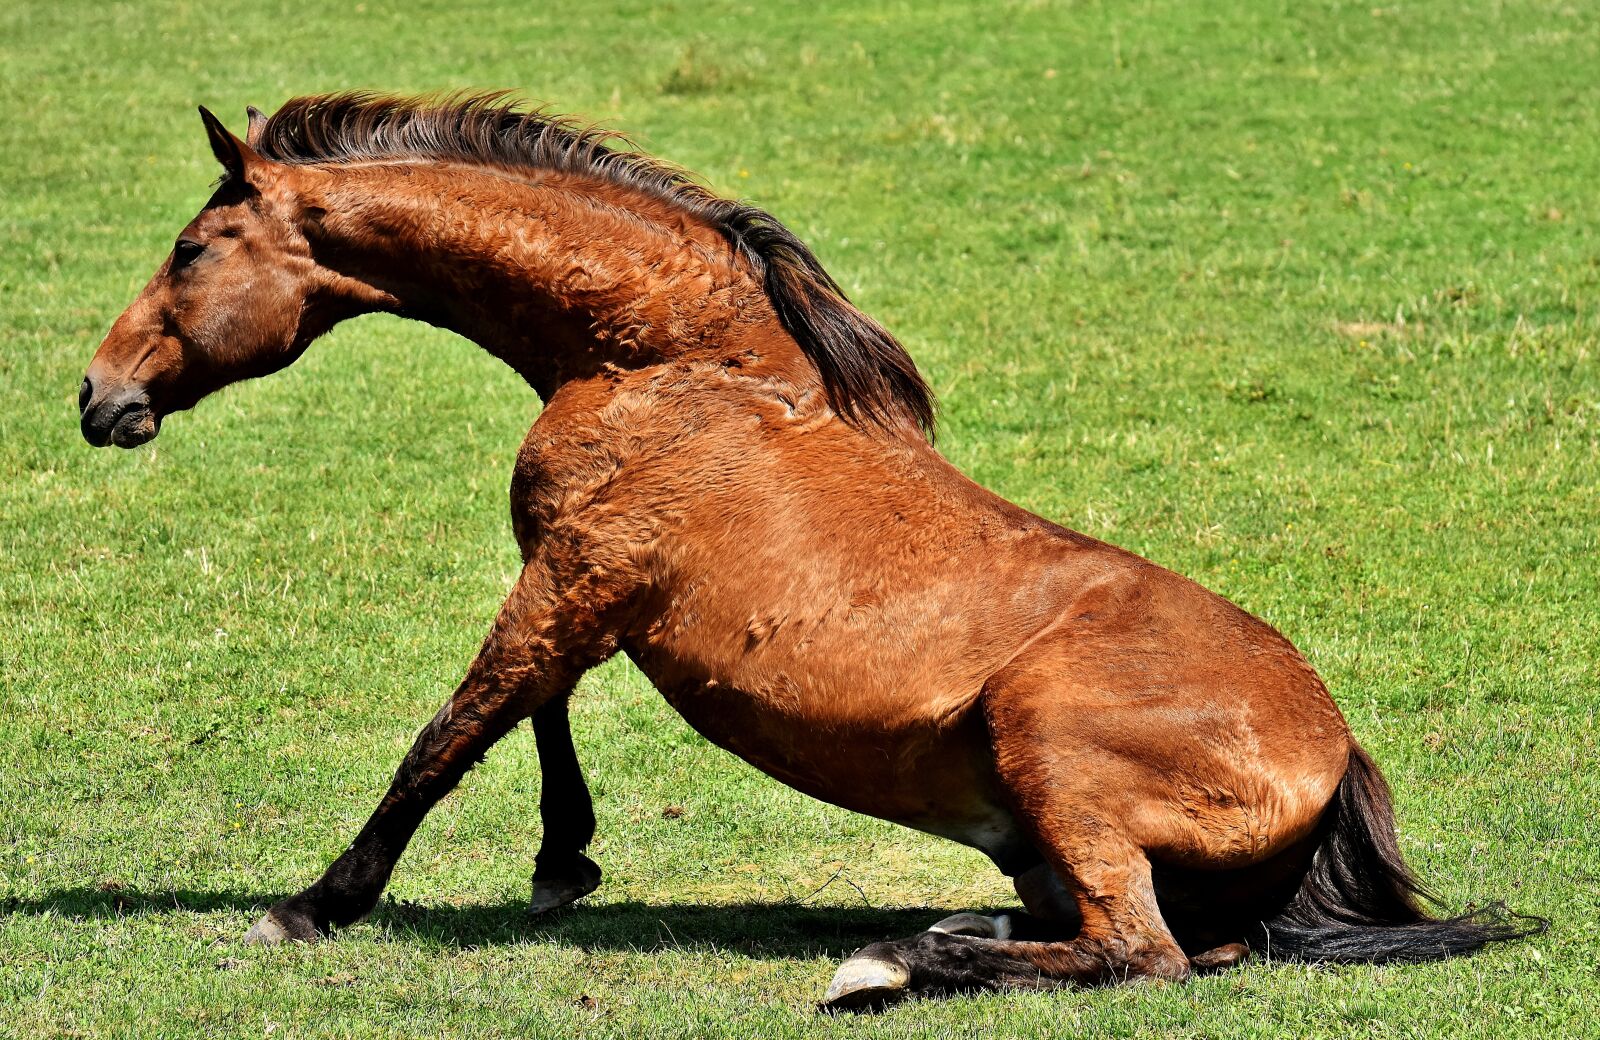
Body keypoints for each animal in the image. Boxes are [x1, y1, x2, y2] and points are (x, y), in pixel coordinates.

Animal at [79, 94, 1539, 1008]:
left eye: (195, 247)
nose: (98, 395)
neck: (674, 359)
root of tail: (1334, 751)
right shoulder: (582, 581)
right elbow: (535, 713)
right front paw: (562, 862)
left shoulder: (574, 578)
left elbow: (452, 732)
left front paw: (316, 904)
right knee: (1161, 939)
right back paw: (945, 929)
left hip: (1047, 747)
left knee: (1140, 952)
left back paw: (895, 961)